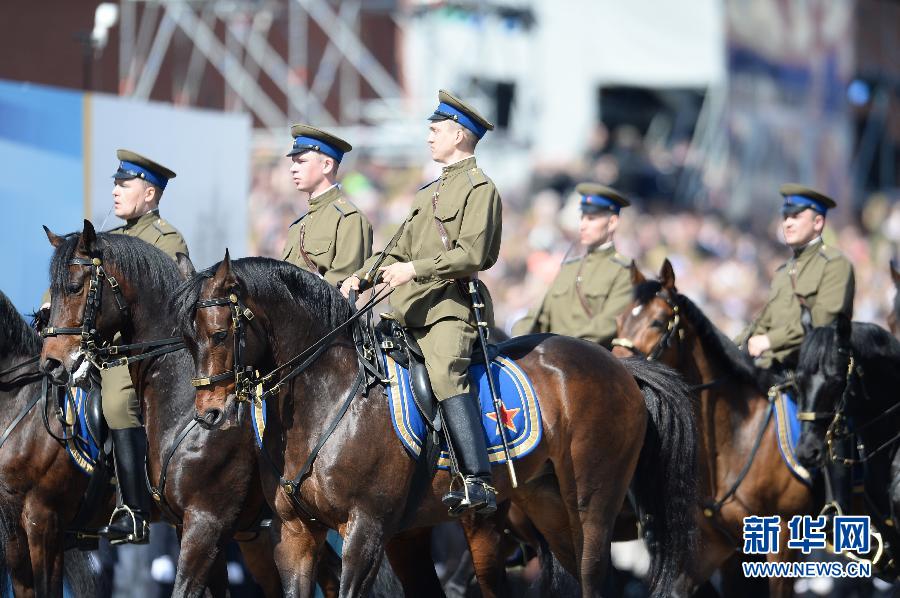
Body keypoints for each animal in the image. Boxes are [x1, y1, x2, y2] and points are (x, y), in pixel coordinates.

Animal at [171, 254, 696, 598]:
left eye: (219, 333)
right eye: (186, 338)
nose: (210, 415)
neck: (329, 399)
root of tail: (618, 366)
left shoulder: (366, 530)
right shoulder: (297, 534)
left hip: (591, 507)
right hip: (545, 506)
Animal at [612, 260, 816, 596]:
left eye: (657, 321)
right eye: (618, 320)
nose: (617, 372)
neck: (738, 437)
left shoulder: (784, 536)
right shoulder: (719, 543)